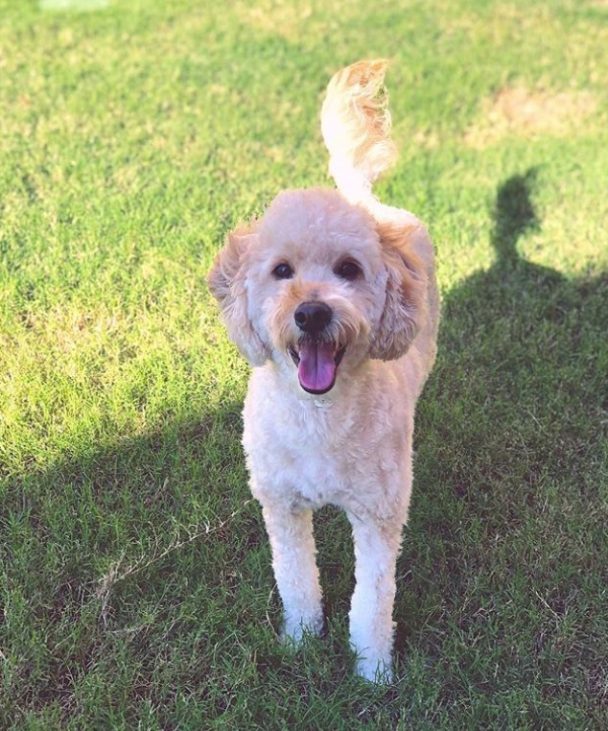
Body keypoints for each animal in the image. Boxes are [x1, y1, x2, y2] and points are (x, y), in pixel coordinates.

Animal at [208, 60, 436, 684]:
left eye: (349, 269)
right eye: (282, 271)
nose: (311, 312)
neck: (320, 418)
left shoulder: (378, 514)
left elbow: (373, 598)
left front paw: (374, 669)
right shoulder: (280, 504)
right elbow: (295, 579)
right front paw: (302, 641)